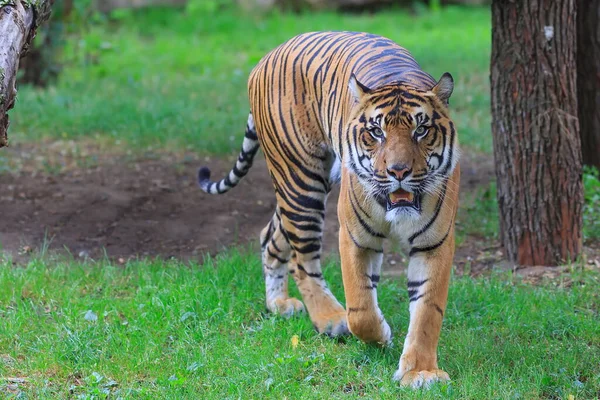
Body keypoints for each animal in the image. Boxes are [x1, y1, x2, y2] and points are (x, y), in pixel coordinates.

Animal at [199, 31, 462, 388]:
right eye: (376, 132)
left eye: (421, 130)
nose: (398, 171)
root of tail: (266, 56)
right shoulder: (355, 236)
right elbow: (360, 309)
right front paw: (378, 334)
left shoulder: (434, 243)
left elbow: (427, 311)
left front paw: (421, 372)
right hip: (300, 181)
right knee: (303, 259)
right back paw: (329, 318)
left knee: (270, 236)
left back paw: (279, 304)